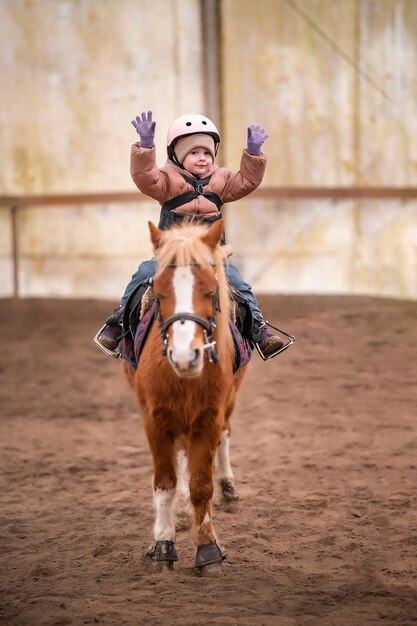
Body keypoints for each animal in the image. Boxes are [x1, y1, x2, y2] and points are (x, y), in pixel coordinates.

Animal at [123, 219, 247, 576]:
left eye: (209, 291)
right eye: (161, 293)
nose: (183, 357)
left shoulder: (209, 417)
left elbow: (201, 486)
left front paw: (208, 550)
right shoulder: (155, 420)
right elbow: (165, 482)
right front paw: (163, 545)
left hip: (229, 403)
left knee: (225, 437)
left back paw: (228, 487)